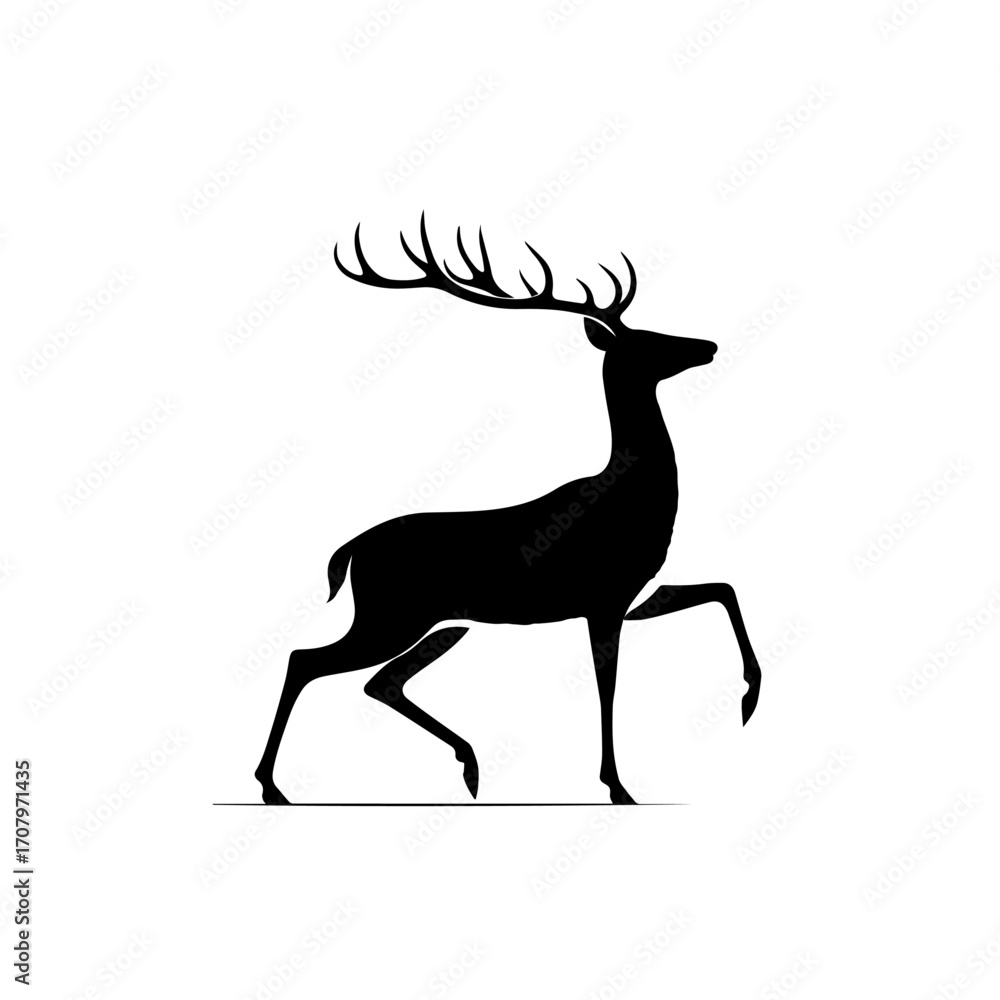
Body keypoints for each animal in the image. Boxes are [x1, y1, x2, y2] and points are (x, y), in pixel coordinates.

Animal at [255, 215, 761, 805]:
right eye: (645, 341)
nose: (707, 344)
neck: (635, 499)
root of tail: (351, 550)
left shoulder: (634, 594)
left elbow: (723, 590)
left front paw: (750, 695)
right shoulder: (604, 596)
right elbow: (607, 685)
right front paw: (617, 785)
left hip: (440, 624)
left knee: (381, 679)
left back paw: (469, 763)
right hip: (390, 614)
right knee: (307, 661)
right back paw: (271, 785)